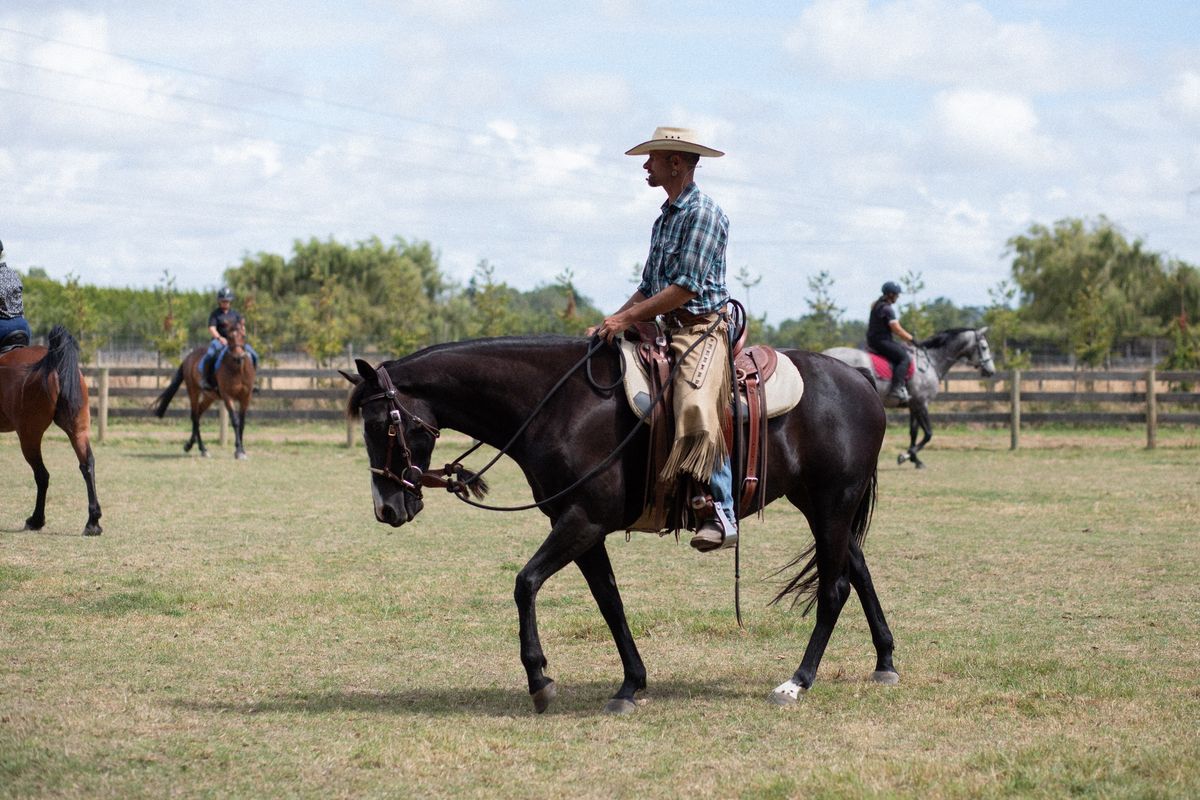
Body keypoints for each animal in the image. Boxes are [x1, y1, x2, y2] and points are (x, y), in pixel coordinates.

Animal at [152, 321, 255, 460]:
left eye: (243, 336)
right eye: (229, 337)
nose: (239, 357)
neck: (238, 369)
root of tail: (188, 358)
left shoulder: (246, 397)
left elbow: (242, 423)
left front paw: (242, 450)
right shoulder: (227, 396)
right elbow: (235, 421)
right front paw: (238, 451)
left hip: (209, 397)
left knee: (198, 415)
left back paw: (190, 445)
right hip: (193, 391)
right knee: (195, 417)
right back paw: (202, 448)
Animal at [343, 335, 897, 714]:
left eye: (381, 424)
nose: (386, 508)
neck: (558, 405)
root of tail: (860, 381)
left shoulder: (582, 521)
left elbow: (525, 583)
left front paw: (539, 681)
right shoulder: (581, 528)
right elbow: (609, 601)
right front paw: (631, 684)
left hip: (832, 503)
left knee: (834, 588)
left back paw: (796, 681)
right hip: (822, 506)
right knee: (860, 572)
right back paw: (885, 662)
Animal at [825, 328, 993, 472]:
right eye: (984, 347)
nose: (991, 371)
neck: (930, 362)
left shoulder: (913, 405)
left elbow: (914, 432)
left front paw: (915, 459)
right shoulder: (922, 403)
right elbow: (928, 433)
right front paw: (905, 456)